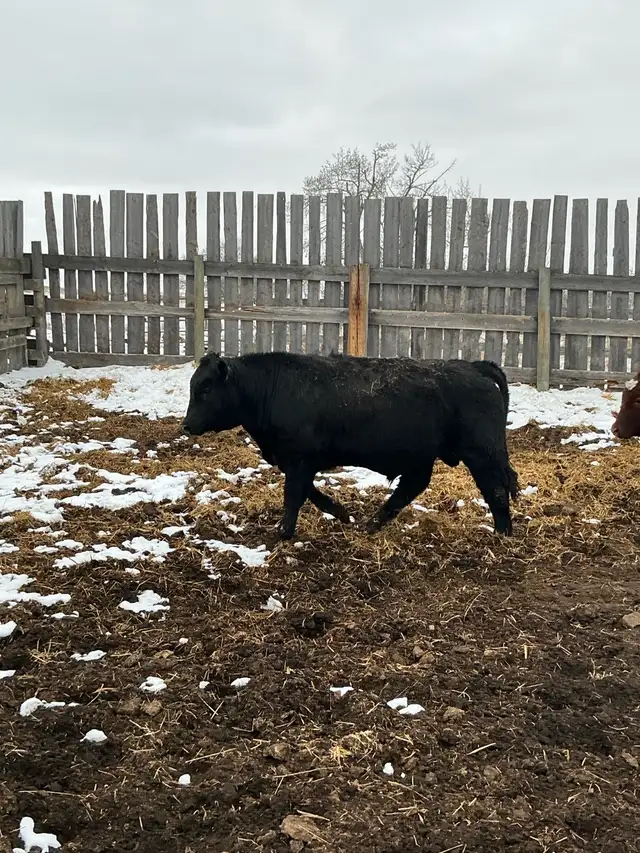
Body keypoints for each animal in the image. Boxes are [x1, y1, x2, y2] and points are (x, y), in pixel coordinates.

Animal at [181, 352, 520, 540]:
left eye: (206, 388)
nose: (185, 425)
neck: (272, 387)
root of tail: (474, 367)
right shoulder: (297, 462)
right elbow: (310, 492)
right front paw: (342, 513)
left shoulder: (299, 460)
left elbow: (294, 496)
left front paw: (283, 532)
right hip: (423, 457)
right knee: (412, 486)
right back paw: (372, 524)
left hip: (482, 453)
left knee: (495, 489)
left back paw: (502, 534)